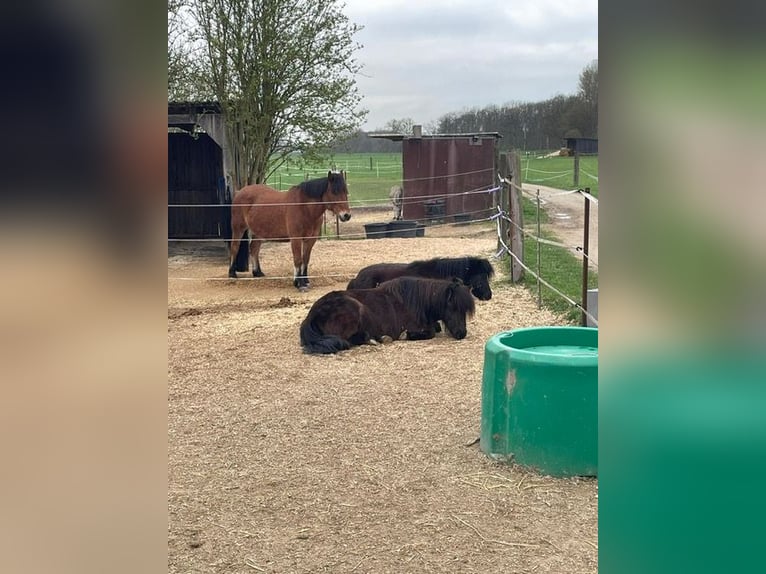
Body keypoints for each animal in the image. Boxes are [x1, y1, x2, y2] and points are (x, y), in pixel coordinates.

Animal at [300, 277, 476, 355]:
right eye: (453, 307)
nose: (462, 333)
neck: (416, 301)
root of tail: (313, 312)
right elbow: (430, 332)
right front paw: (407, 335)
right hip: (354, 311)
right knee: (347, 340)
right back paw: (376, 338)